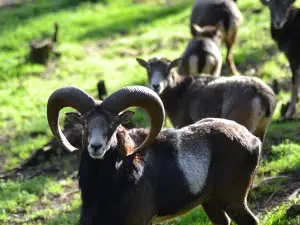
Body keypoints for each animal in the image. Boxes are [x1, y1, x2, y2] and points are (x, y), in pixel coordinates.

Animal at [48, 85, 262, 225]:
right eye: (84, 123)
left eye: (114, 123)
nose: (96, 147)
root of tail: (253, 140)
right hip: (211, 202)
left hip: (233, 200)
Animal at [136, 56, 276, 141]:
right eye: (148, 69)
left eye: (168, 69)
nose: (156, 86)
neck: (179, 91)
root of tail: (263, 96)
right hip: (261, 131)